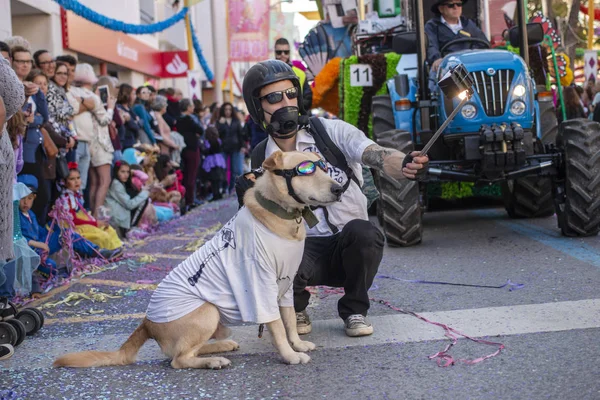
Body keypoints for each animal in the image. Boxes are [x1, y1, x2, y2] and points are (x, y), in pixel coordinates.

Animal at [54, 152, 344, 370]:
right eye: (305, 170)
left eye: (324, 166)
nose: (339, 188)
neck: (281, 214)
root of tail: (146, 322)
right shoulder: (261, 286)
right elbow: (277, 327)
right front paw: (290, 355)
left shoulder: (285, 286)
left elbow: (290, 321)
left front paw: (297, 344)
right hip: (208, 312)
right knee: (179, 359)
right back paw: (214, 360)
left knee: (187, 351)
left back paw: (219, 347)